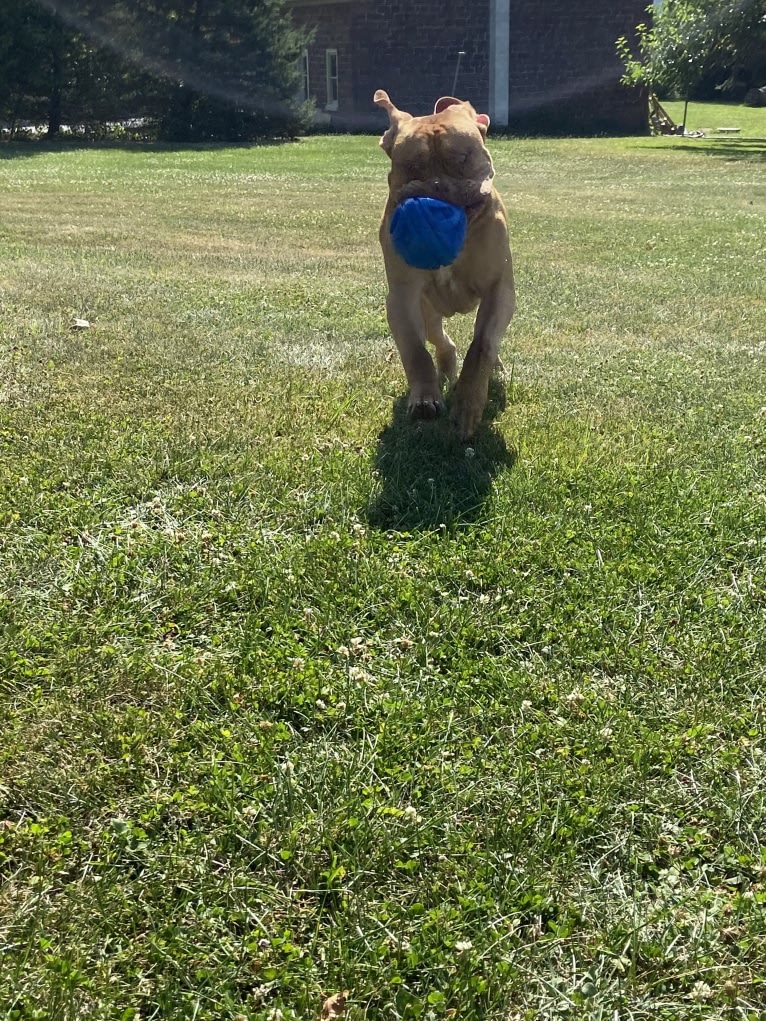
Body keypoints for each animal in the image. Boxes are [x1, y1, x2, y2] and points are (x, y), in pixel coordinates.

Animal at [373, 88, 516, 439]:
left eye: (463, 158)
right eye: (413, 166)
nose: (437, 187)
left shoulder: (498, 290)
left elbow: (481, 346)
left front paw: (468, 404)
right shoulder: (402, 295)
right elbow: (414, 349)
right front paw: (425, 398)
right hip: (429, 310)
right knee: (440, 340)